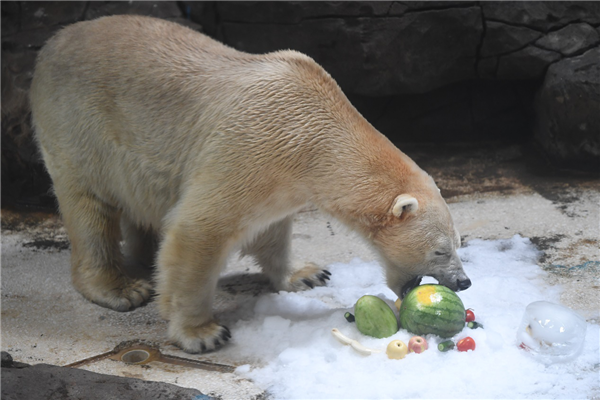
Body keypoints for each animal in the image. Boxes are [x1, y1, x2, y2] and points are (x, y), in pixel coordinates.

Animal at [29, 15, 468, 354]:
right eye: (440, 250)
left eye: (458, 243)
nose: (464, 281)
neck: (314, 129)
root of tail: (52, 42)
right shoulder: (248, 147)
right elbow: (199, 229)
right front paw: (202, 333)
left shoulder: (279, 174)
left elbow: (272, 228)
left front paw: (306, 274)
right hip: (80, 124)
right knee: (89, 205)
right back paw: (121, 288)